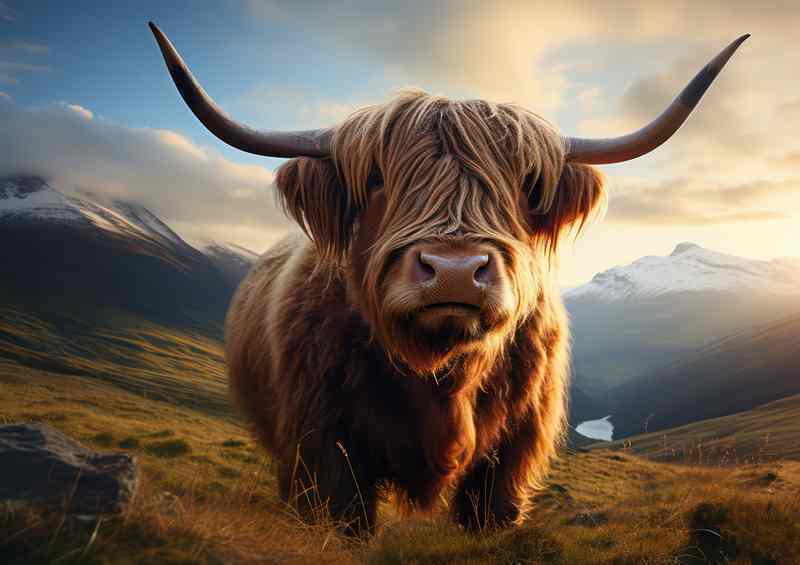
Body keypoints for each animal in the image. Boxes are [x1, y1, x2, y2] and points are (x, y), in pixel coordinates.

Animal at [150, 23, 747, 535]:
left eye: (526, 185)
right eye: (376, 178)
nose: (455, 273)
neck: (441, 374)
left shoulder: (512, 454)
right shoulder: (323, 444)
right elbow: (342, 518)